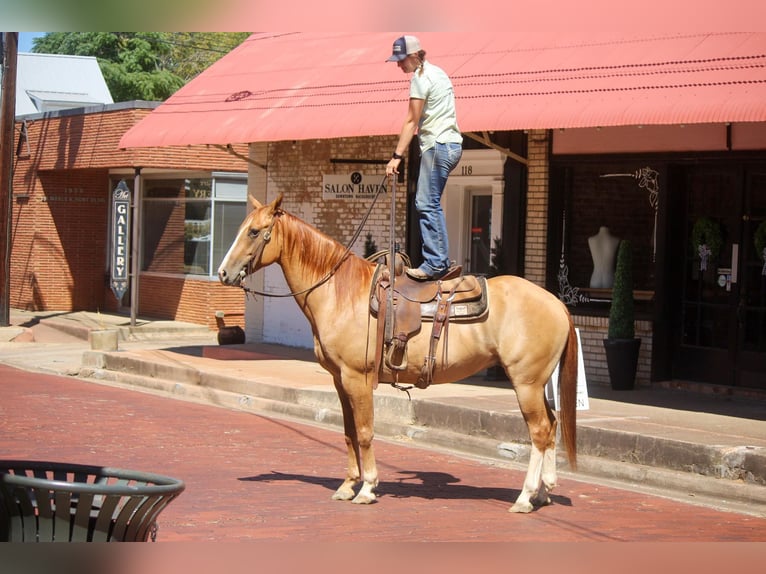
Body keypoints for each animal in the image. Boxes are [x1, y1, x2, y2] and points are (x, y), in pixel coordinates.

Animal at [219, 195, 580, 516]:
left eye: (255, 232)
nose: (223, 273)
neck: (341, 293)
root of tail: (556, 303)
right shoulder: (339, 380)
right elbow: (348, 432)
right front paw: (348, 485)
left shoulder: (357, 379)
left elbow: (365, 432)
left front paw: (367, 488)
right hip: (536, 384)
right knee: (551, 426)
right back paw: (544, 492)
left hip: (526, 383)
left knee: (540, 432)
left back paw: (526, 496)